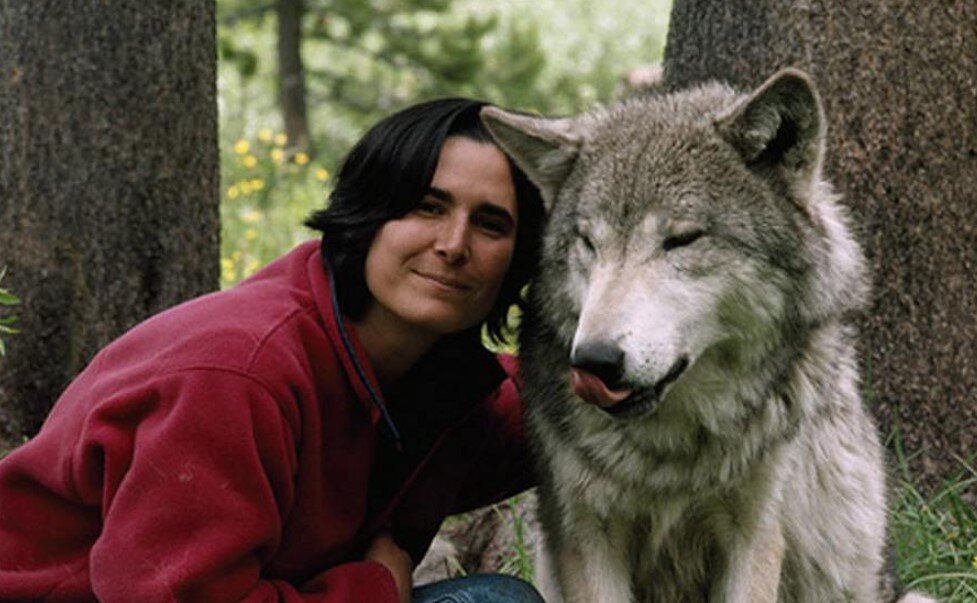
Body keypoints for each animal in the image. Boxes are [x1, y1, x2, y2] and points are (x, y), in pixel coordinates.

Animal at [484, 71, 936, 603]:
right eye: (588, 243)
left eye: (681, 239)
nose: (594, 360)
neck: (673, 456)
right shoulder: (587, 535)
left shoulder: (755, 535)